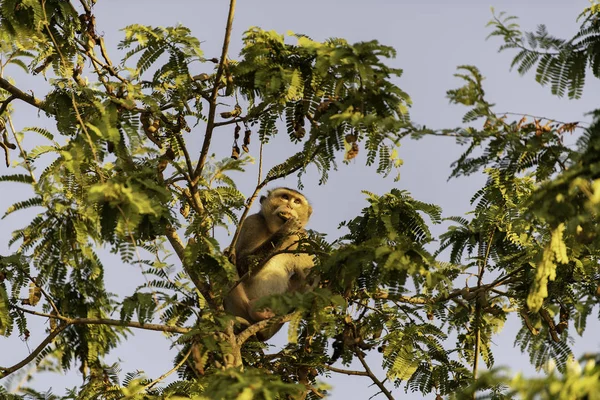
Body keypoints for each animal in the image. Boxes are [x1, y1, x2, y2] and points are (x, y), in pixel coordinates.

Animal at [225, 188, 316, 340]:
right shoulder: (253, 222)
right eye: (285, 197)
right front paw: (286, 228)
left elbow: (310, 272)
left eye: (297, 201)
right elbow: (242, 264)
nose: (290, 206)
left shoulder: (302, 237)